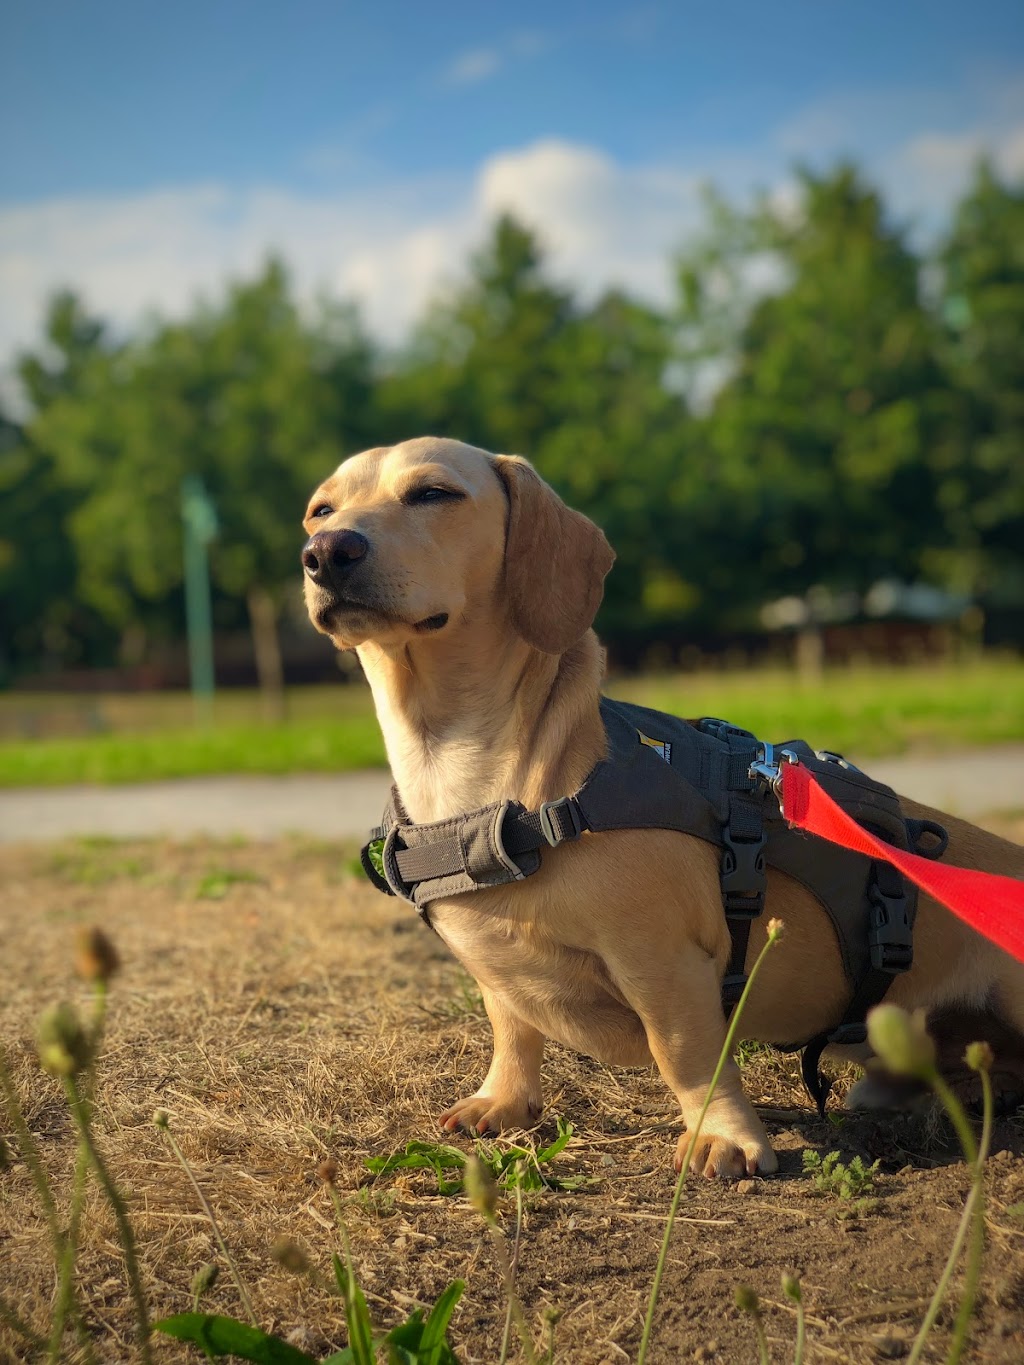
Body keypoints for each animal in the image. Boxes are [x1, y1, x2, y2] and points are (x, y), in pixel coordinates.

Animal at [303, 442, 1024, 1179]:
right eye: (321, 510)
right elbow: (512, 1028)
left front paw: (725, 1137)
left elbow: (687, 1055)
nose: (325, 552)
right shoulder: (504, 977)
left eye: (433, 493)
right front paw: (501, 1100)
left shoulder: (662, 960)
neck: (470, 771)